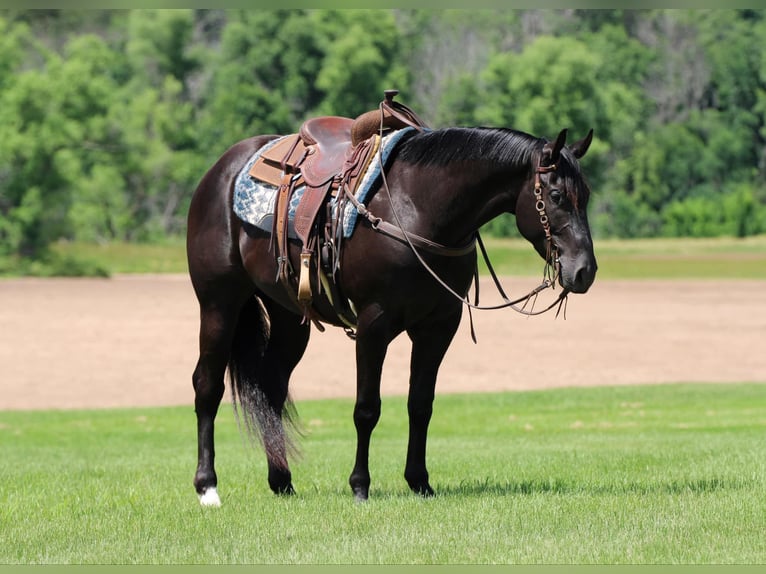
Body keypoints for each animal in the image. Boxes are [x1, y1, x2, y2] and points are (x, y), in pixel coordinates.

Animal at [186, 115, 600, 506]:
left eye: (586, 195)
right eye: (557, 195)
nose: (584, 270)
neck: (419, 208)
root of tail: (220, 170)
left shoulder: (439, 326)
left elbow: (421, 405)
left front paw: (420, 482)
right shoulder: (374, 324)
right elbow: (367, 408)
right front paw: (360, 485)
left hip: (289, 315)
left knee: (271, 385)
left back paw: (282, 481)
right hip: (219, 303)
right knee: (207, 386)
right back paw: (208, 487)